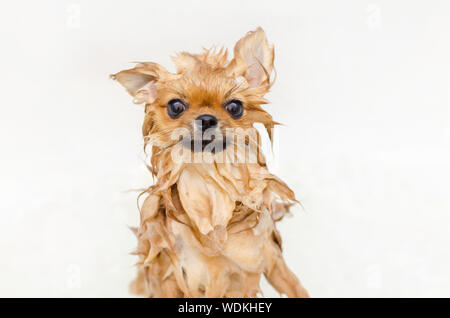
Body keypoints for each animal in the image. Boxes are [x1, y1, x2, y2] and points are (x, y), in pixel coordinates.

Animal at [112, 27, 310, 298]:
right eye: (176, 106)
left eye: (235, 107)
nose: (206, 118)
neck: (208, 186)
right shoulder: (170, 271)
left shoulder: (267, 257)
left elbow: (296, 287)